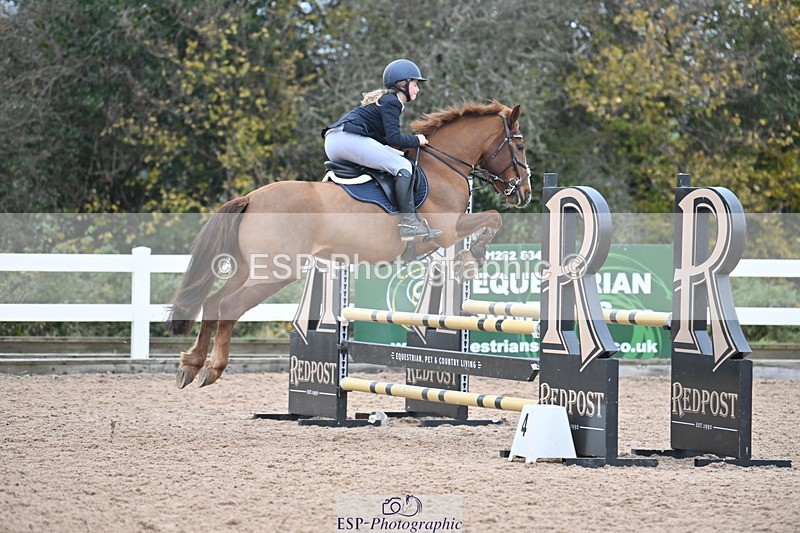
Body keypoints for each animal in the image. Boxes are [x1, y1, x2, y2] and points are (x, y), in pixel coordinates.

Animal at [166, 100, 532, 388]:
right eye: (520, 146)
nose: (525, 192)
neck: (443, 167)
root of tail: (252, 198)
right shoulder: (448, 231)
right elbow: (493, 218)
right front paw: (472, 258)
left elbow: (490, 220)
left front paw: (470, 259)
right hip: (274, 272)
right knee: (228, 306)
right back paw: (213, 368)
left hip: (249, 269)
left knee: (213, 303)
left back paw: (190, 364)